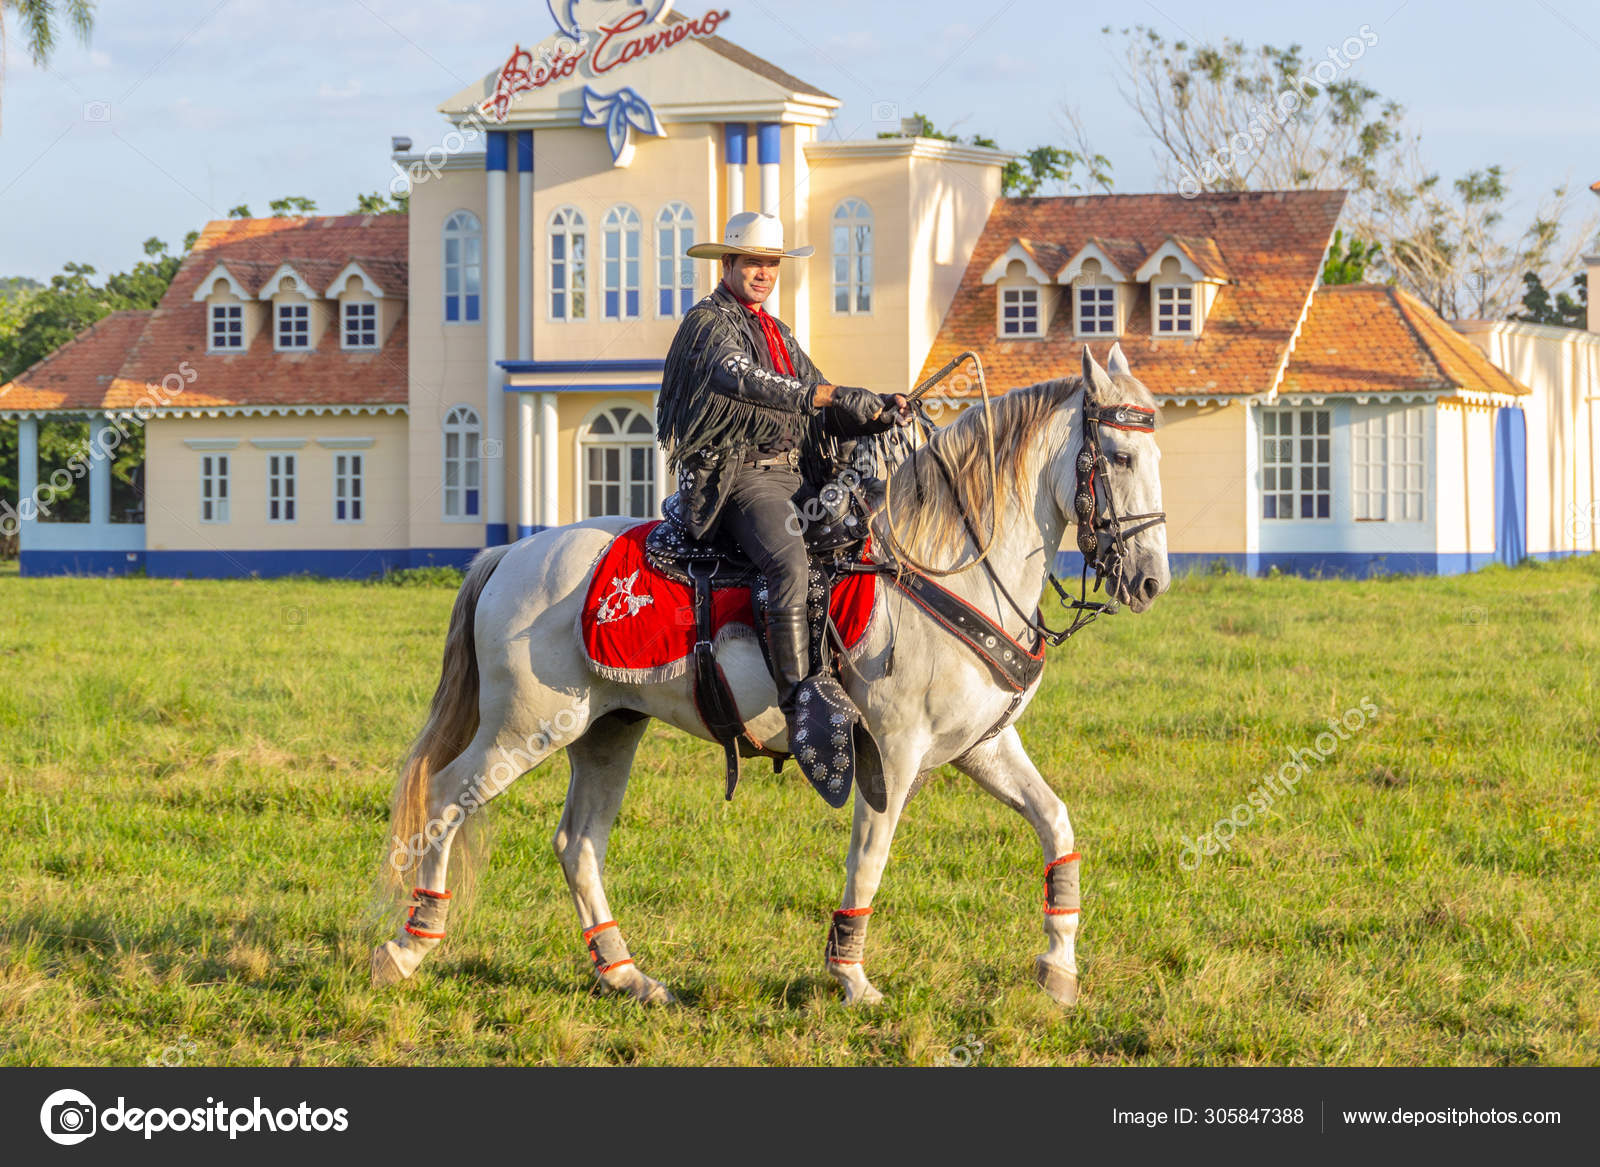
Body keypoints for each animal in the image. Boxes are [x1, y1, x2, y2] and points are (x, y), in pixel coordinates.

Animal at [374, 344, 1177, 998]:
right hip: (524, 729)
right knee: (445, 796)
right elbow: (869, 857)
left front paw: (1059, 966)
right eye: (1120, 457)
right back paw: (410, 945)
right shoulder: (892, 753)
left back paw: (625, 973)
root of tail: (509, 553)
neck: (944, 563)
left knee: (577, 843)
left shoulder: (983, 746)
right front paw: (850, 975)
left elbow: (1055, 823)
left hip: (606, 729)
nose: (1149, 583)